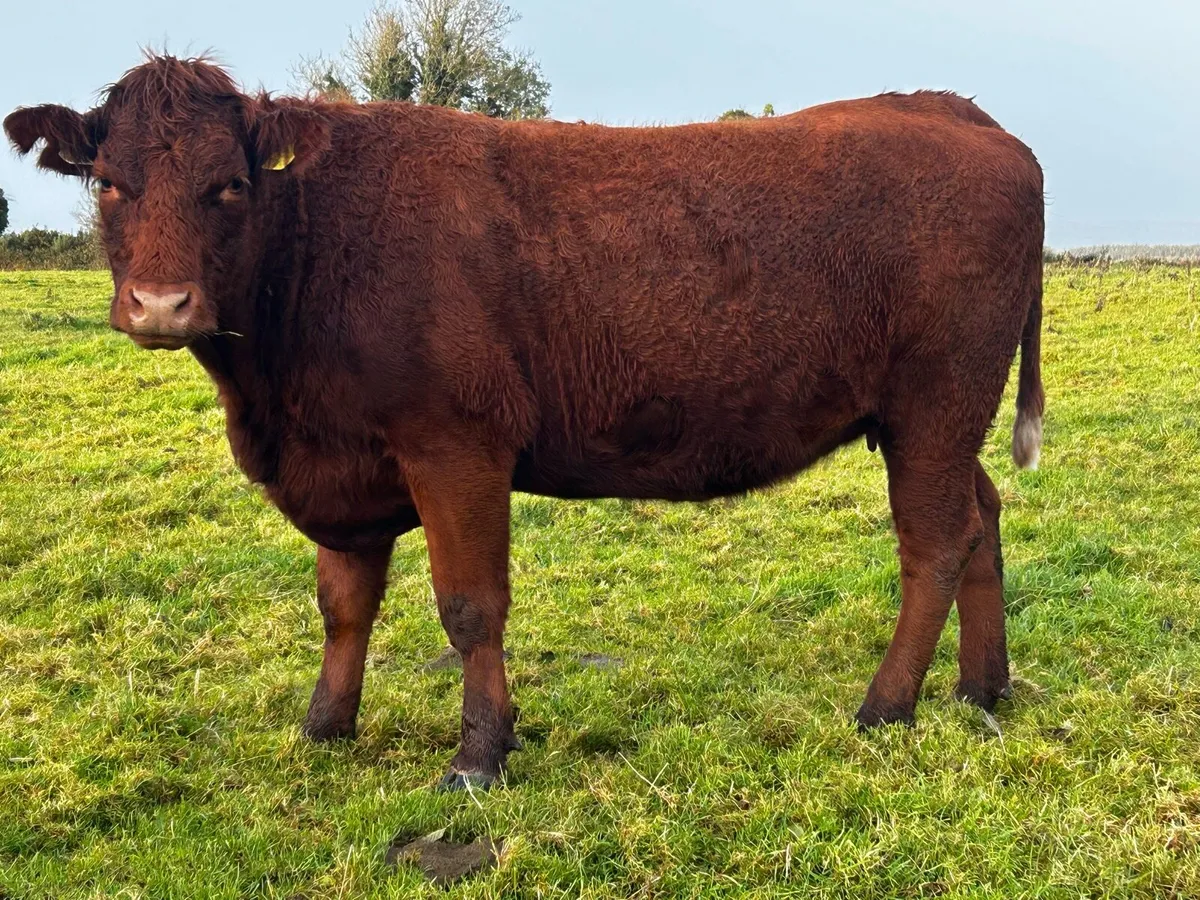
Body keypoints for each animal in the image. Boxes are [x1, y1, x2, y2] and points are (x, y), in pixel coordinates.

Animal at [5, 56, 1045, 791]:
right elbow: (344, 604)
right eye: (108, 183)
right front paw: (324, 727)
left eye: (230, 185)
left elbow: (470, 606)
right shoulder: (348, 464)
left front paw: (479, 757)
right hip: (943, 420)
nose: (161, 305)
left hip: (935, 403)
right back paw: (981, 689)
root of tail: (955, 110)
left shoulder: (456, 444)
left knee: (933, 544)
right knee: (983, 519)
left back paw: (886, 706)